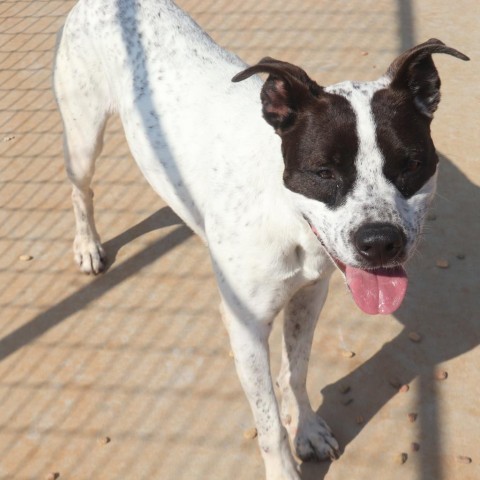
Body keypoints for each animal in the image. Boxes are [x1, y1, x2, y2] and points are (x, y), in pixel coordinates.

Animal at [53, 1, 468, 478]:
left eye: (410, 164)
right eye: (323, 171)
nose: (381, 242)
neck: (290, 218)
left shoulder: (310, 295)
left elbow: (296, 372)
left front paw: (306, 429)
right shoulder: (246, 326)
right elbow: (268, 421)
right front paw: (284, 467)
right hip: (83, 138)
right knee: (80, 191)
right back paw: (88, 245)